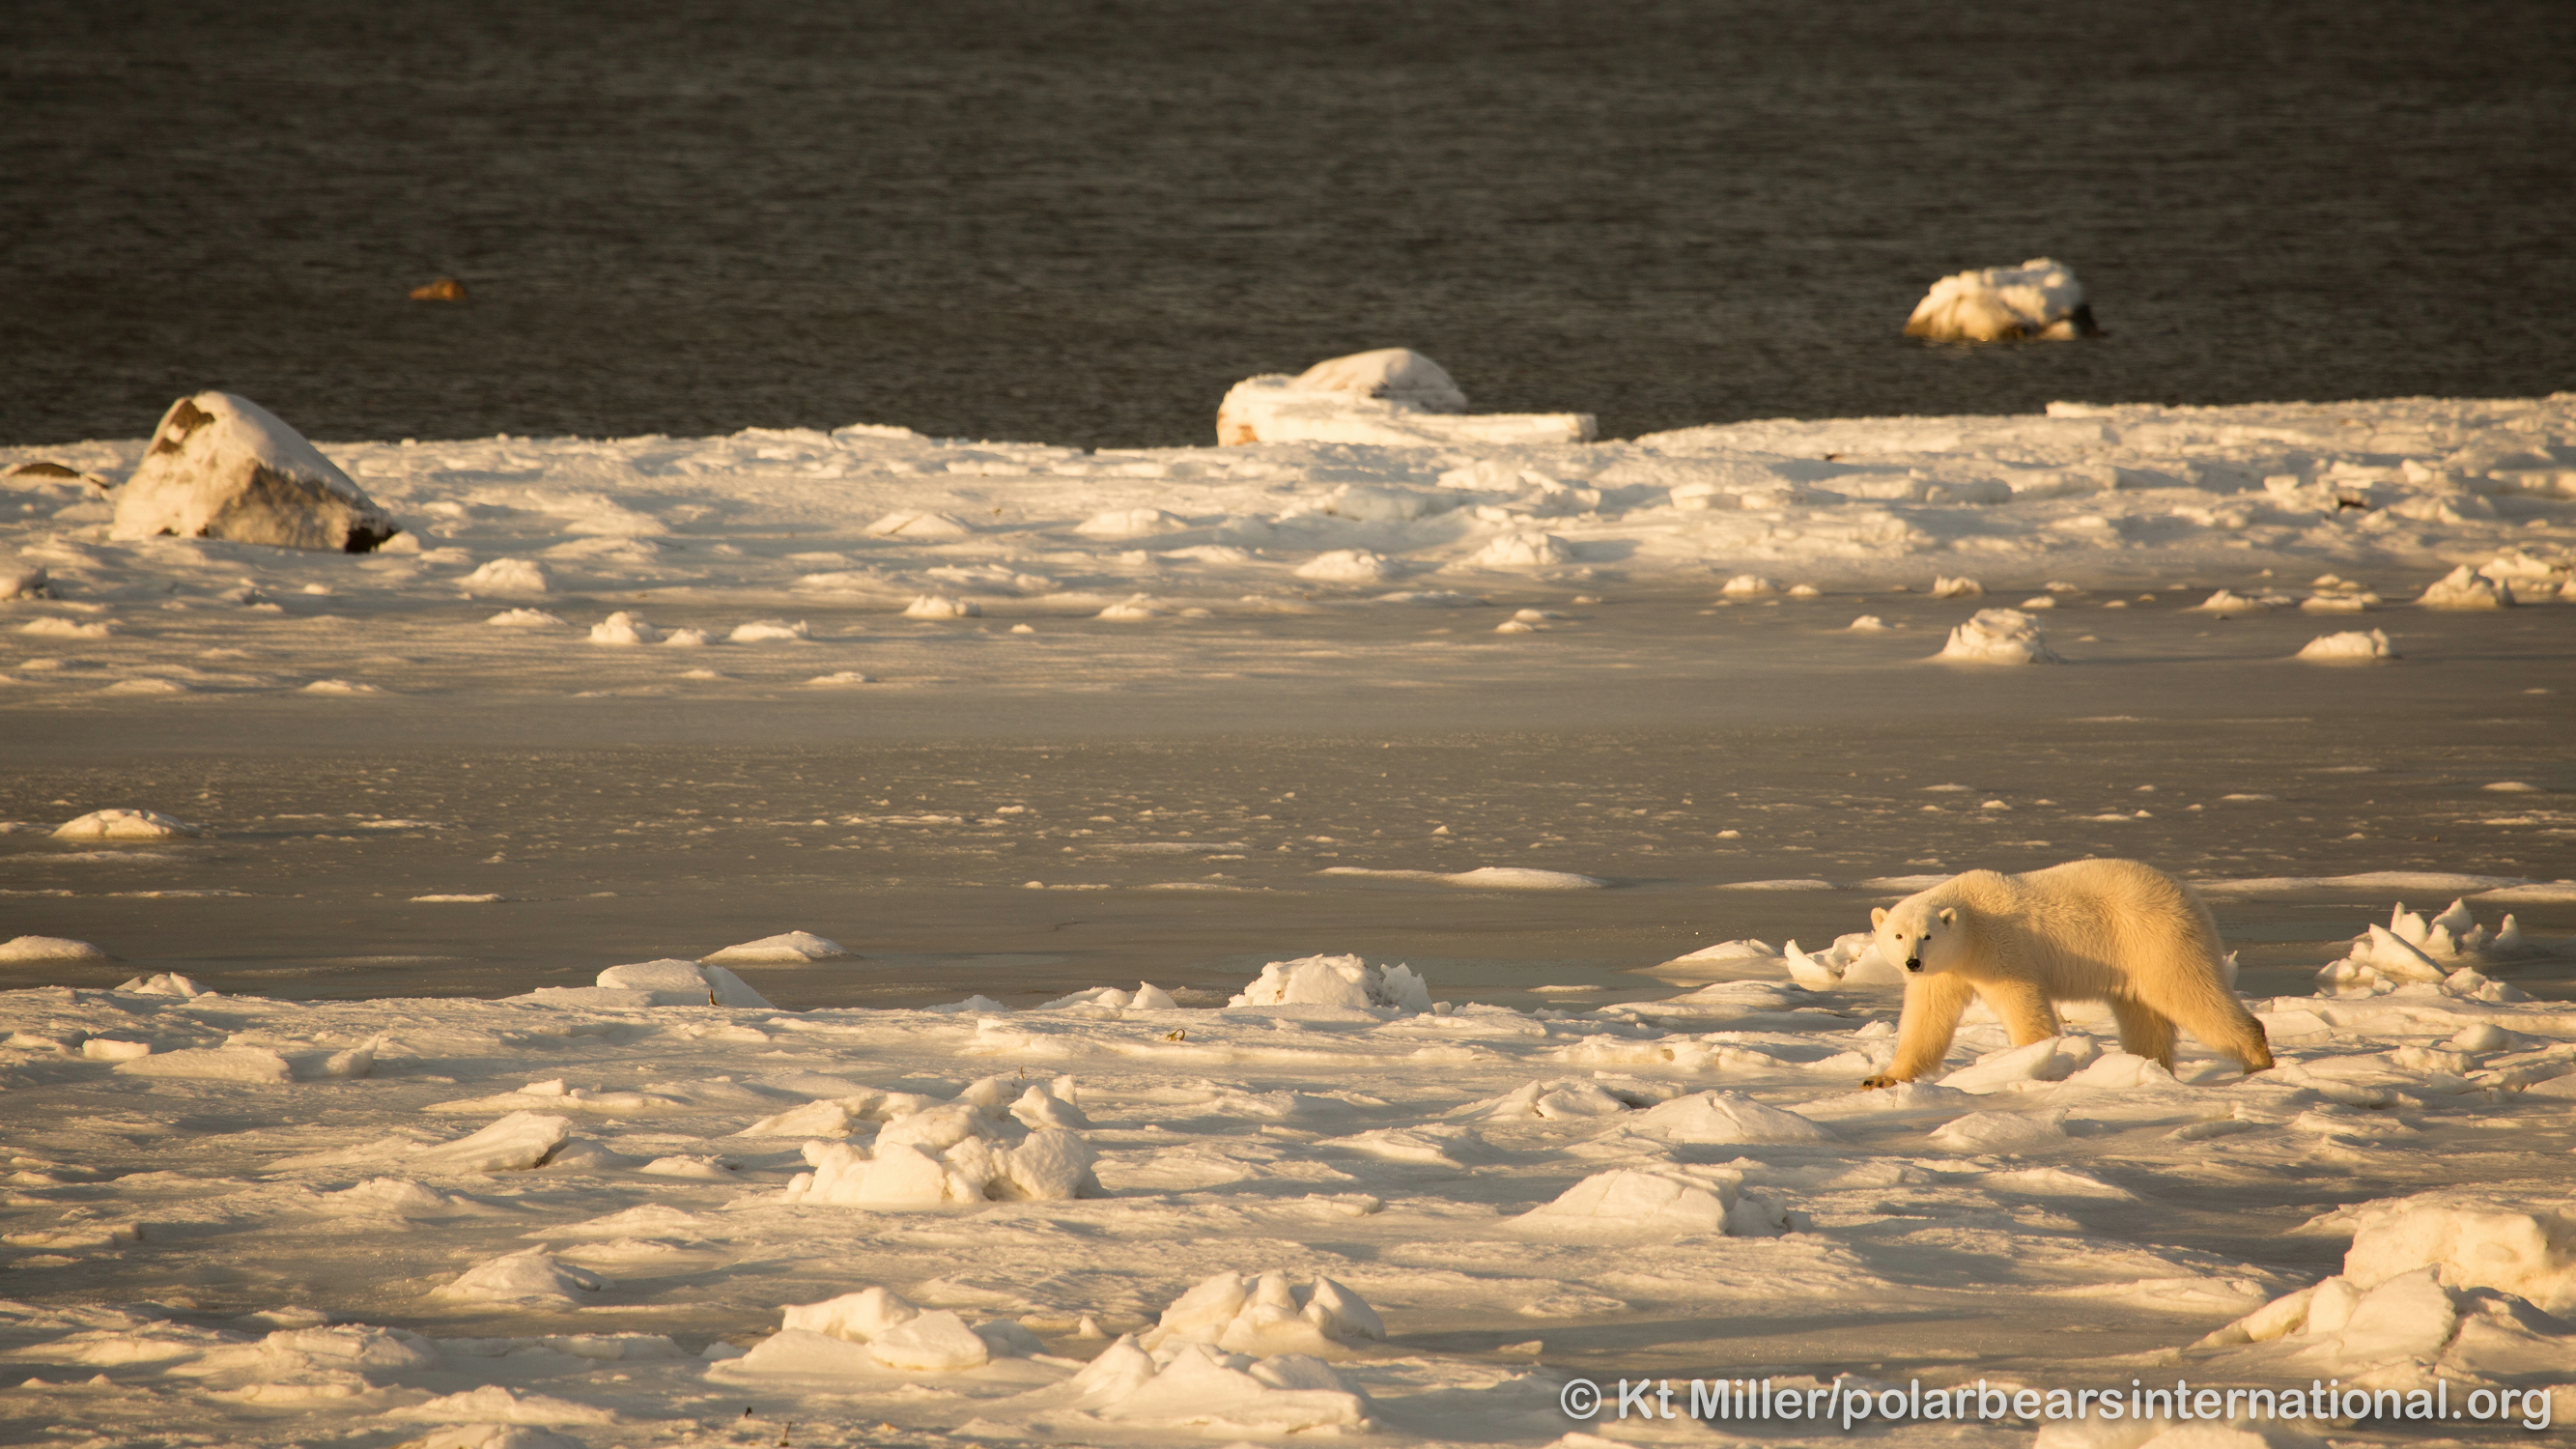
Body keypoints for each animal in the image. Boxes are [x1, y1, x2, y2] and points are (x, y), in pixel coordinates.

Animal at [1858, 858, 2273, 1088]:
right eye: (1898, 935)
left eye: (1927, 934)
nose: (1913, 962)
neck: (1970, 922)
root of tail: (2189, 895)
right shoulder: (1947, 969)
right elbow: (1926, 1018)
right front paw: (1880, 1078)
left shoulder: (1999, 947)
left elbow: (2022, 1003)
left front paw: (2033, 1062)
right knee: (2143, 1013)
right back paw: (2143, 1066)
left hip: (2156, 938)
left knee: (2190, 992)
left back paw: (2257, 1058)